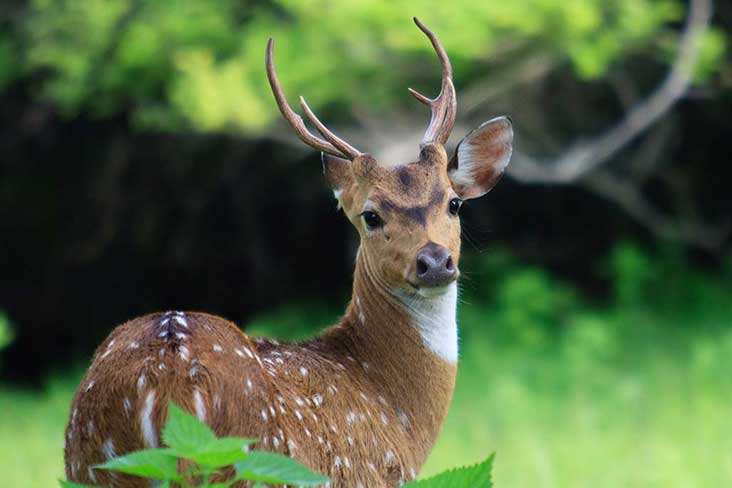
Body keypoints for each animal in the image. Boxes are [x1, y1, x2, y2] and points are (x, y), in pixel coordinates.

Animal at [64, 17, 516, 486]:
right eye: (371, 216)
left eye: (454, 203)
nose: (435, 262)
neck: (396, 412)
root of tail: (163, 384)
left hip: (85, 463)